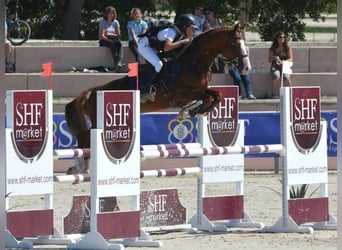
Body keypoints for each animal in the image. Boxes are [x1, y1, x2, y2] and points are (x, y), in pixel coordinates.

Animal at [65, 22, 251, 173]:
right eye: (235, 43)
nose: (246, 68)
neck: (195, 62)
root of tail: (91, 92)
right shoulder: (181, 93)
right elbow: (205, 98)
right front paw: (192, 110)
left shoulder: (202, 89)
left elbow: (216, 95)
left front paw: (195, 110)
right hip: (101, 122)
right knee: (85, 138)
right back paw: (79, 166)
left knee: (87, 138)